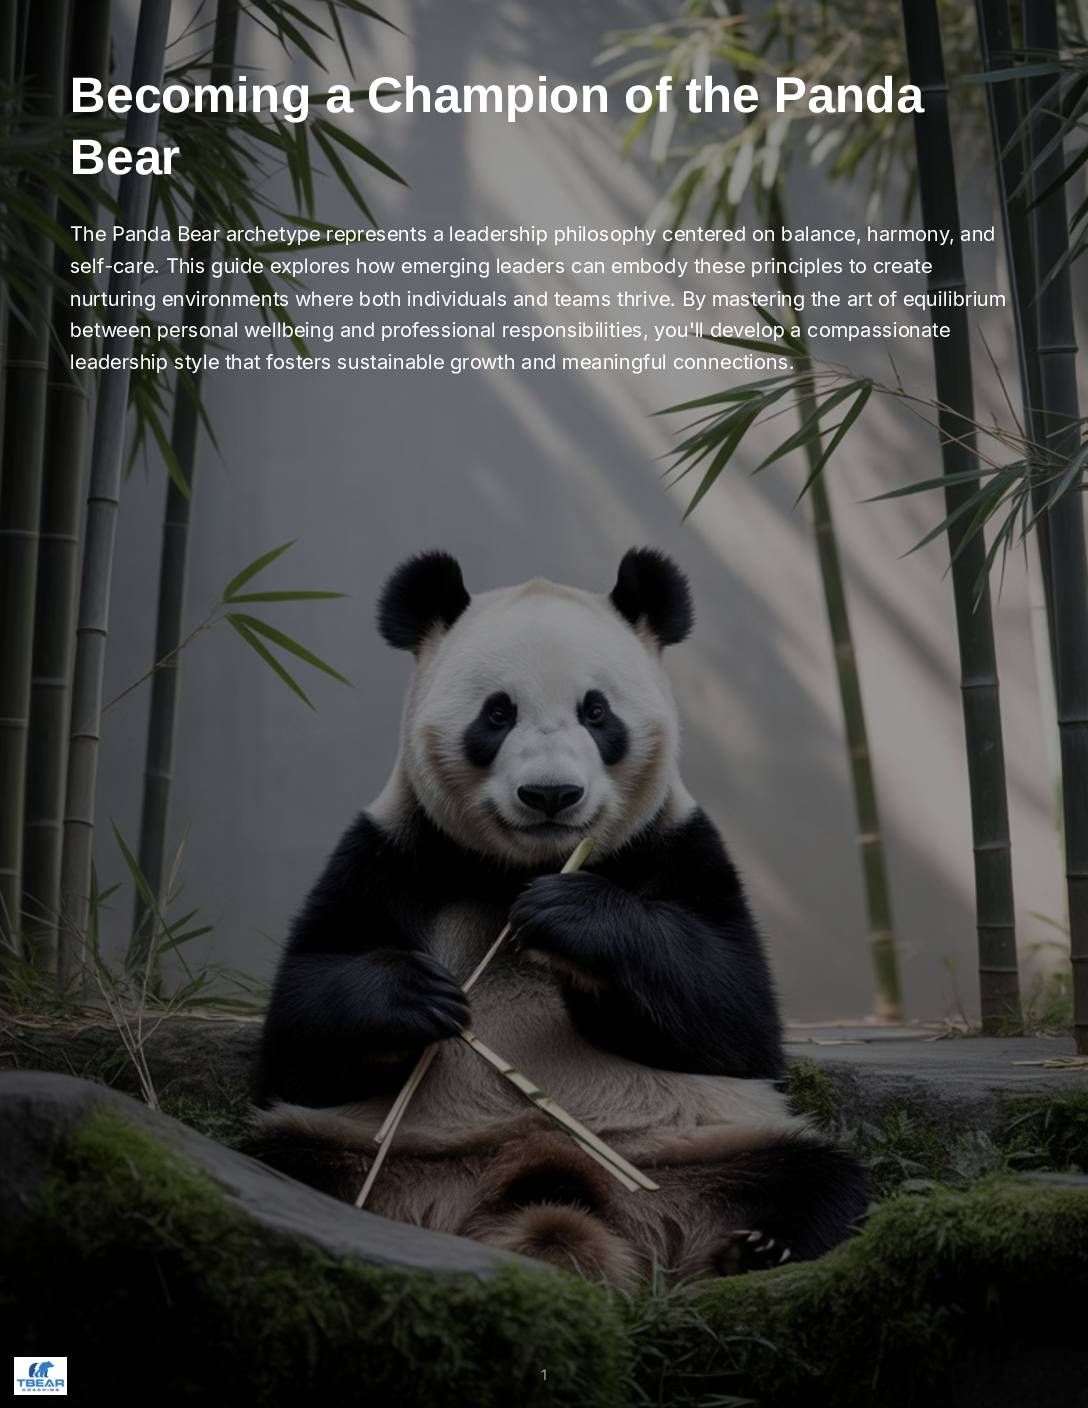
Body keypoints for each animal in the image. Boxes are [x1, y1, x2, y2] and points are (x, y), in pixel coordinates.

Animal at [245, 548, 868, 1286]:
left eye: (597, 712)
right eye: (497, 714)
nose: (551, 794)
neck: (519, 869)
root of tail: (549, 1184)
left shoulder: (679, 844)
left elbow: (737, 1016)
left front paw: (570, 918)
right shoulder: (391, 850)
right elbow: (300, 1031)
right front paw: (415, 995)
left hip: (702, 1147)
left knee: (820, 1177)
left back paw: (757, 1248)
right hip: (374, 1151)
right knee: (282, 1165)